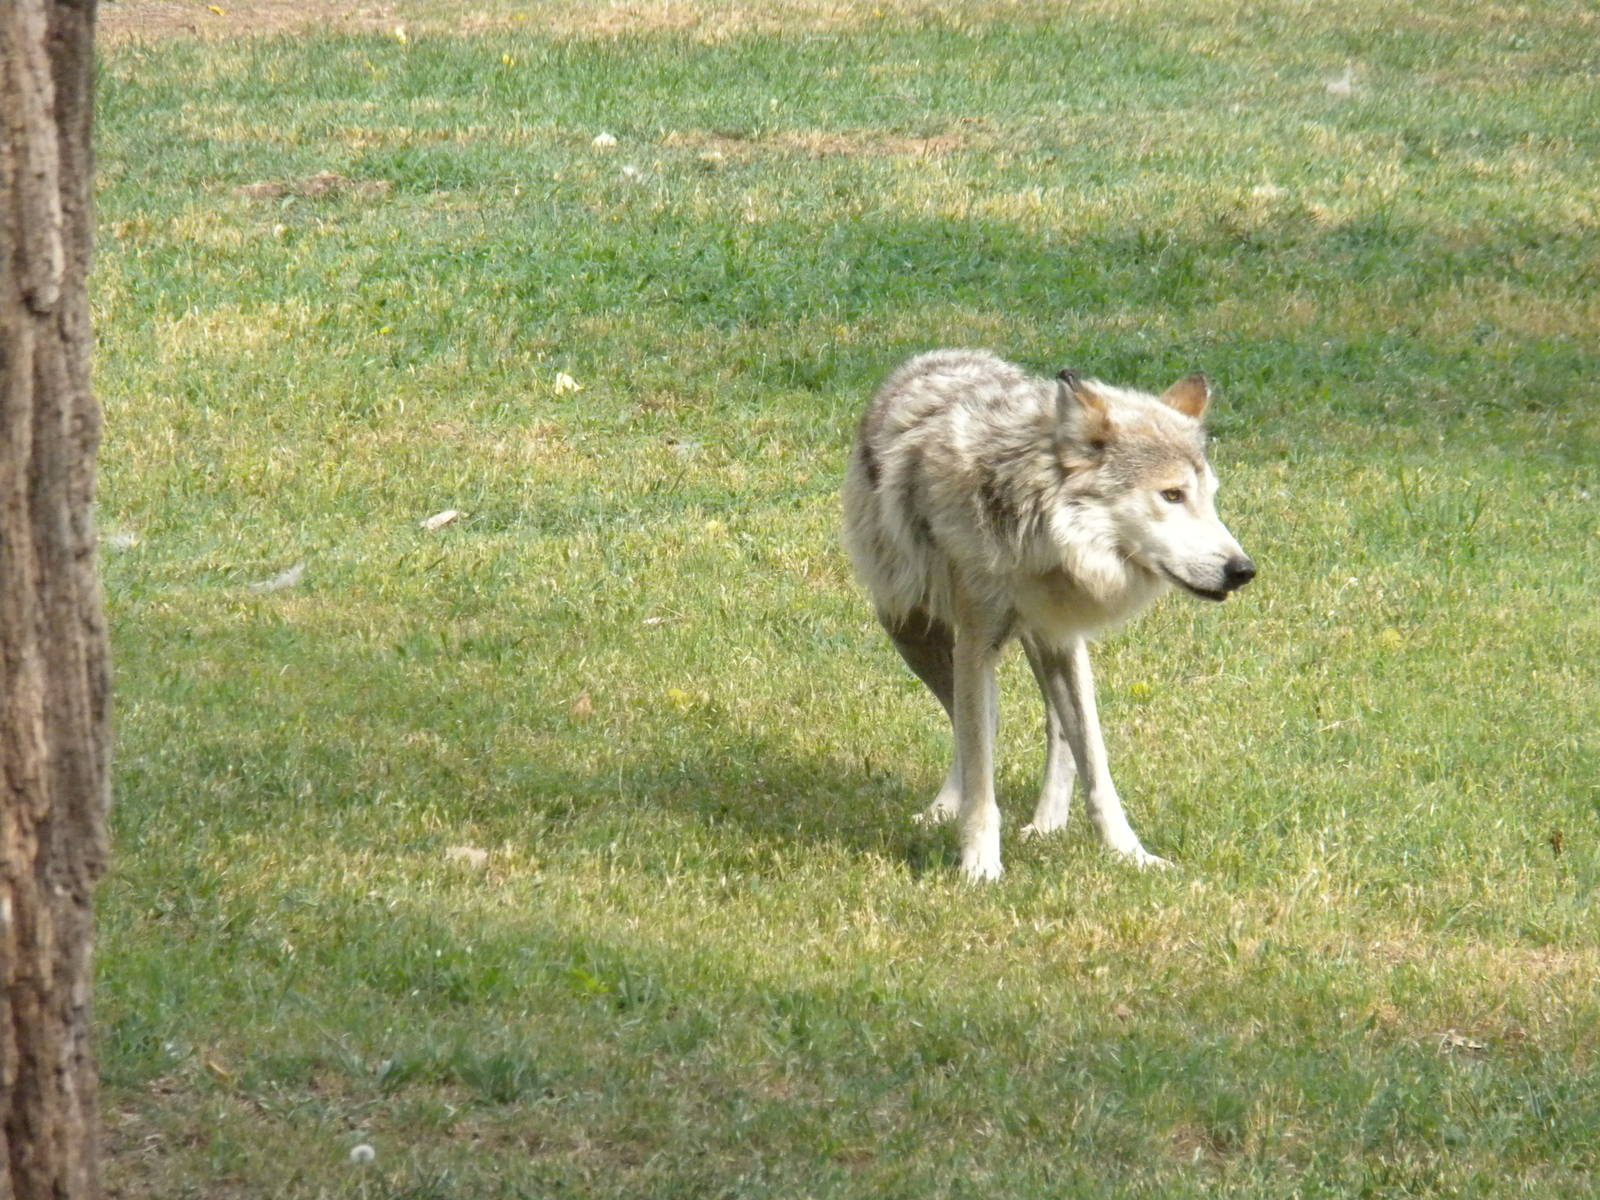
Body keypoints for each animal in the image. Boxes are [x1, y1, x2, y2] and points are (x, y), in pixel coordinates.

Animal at [841, 350, 1254, 880]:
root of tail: (939, 356)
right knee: (977, 722)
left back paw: (1046, 825)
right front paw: (980, 868)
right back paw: (945, 810)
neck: (1038, 528)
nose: (1242, 570)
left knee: (1055, 729)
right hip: (907, 625)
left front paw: (1131, 856)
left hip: (1048, 644)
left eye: (1209, 497)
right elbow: (981, 770)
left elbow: (1096, 764)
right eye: (1171, 495)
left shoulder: (1061, 637)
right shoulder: (976, 644)